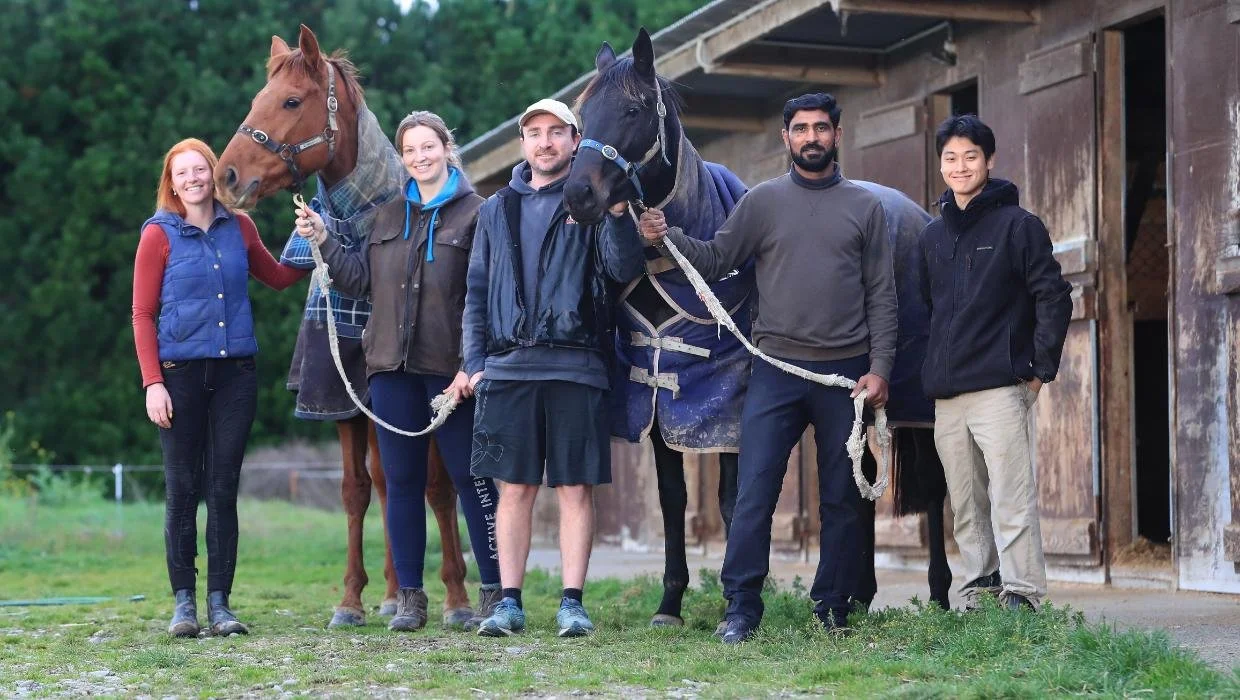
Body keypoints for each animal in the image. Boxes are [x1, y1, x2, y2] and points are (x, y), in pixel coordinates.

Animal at [564, 28, 752, 628]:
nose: (577, 196)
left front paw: (736, 600)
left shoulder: (729, 407)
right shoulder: (658, 400)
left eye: (632, 109)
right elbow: (673, 498)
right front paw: (671, 602)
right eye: (582, 114)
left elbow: (734, 498)